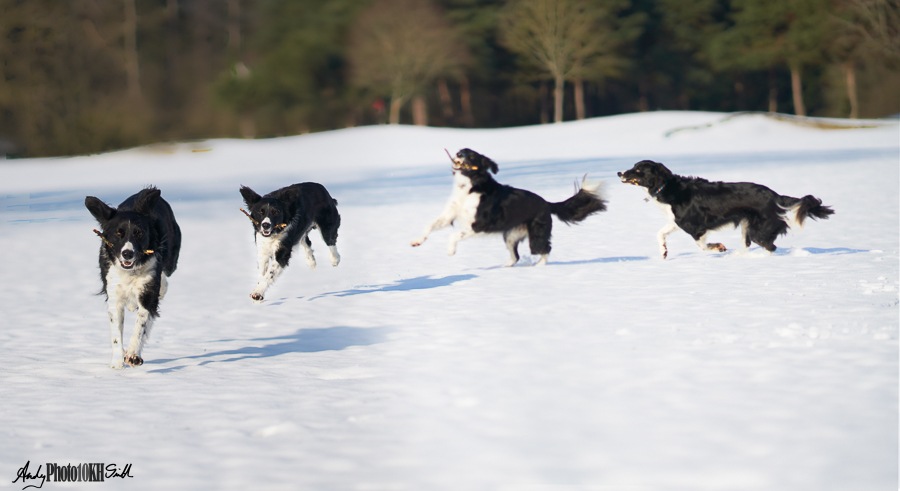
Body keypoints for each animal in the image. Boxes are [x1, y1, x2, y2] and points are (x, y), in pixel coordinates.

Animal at [84, 188, 181, 368]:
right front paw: (116, 364)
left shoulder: (147, 293)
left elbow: (140, 325)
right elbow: (116, 334)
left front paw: (133, 355)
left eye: (139, 233)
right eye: (118, 233)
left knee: (165, 279)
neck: (130, 272)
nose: (127, 253)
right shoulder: (114, 296)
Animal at [412, 148, 608, 268]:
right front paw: (417, 241)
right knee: (516, 256)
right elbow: (429, 225)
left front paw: (450, 250)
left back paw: (539, 266)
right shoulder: (449, 215)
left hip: (535, 236)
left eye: (472, 156)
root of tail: (546, 203)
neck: (470, 186)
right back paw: (505, 266)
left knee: (545, 249)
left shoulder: (479, 224)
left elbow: (453, 235)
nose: (459, 153)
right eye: (461, 151)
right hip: (510, 236)